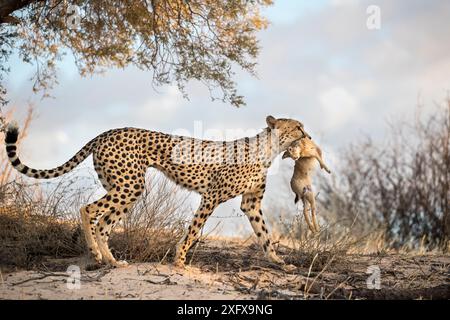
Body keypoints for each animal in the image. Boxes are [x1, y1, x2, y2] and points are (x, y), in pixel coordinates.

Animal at [5, 115, 310, 268]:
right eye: (297, 127)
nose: (308, 136)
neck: (269, 149)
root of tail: (107, 132)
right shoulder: (210, 197)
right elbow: (193, 231)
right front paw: (180, 261)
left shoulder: (251, 204)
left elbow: (265, 235)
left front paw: (279, 262)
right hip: (129, 185)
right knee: (88, 209)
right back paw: (96, 254)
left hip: (122, 187)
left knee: (104, 223)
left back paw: (112, 261)